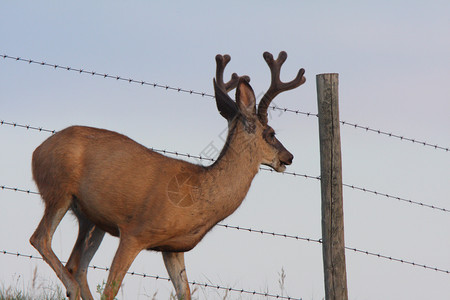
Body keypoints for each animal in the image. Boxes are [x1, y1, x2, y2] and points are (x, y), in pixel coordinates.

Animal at [29, 50, 306, 298]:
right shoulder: (134, 232)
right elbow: (111, 290)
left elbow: (184, 293)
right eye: (271, 133)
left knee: (77, 266)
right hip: (59, 192)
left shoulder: (173, 248)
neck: (199, 194)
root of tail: (37, 151)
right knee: (41, 239)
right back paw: (71, 287)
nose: (289, 157)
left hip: (91, 219)